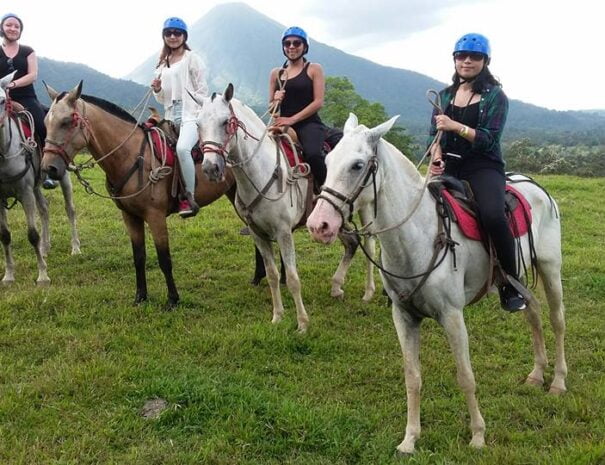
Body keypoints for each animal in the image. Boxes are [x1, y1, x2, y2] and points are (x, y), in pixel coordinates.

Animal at [0, 72, 80, 284]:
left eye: (2, 100)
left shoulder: (25, 193)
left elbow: (32, 235)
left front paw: (43, 276)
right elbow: (5, 236)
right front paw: (8, 276)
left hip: (63, 175)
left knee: (70, 209)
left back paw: (75, 247)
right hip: (36, 186)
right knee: (44, 209)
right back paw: (45, 247)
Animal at [41, 82, 235, 308]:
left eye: (67, 121)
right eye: (46, 122)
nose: (48, 168)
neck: (132, 156)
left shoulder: (155, 216)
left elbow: (164, 259)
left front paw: (172, 299)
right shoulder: (130, 216)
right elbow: (139, 257)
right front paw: (141, 296)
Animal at [191, 83, 376, 330]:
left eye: (225, 122)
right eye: (198, 124)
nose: (211, 168)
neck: (263, 172)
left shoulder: (283, 232)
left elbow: (293, 277)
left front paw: (302, 323)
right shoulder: (258, 234)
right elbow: (272, 275)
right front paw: (277, 316)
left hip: (366, 210)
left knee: (370, 245)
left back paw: (369, 292)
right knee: (352, 242)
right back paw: (337, 287)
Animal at [306, 113, 568, 454]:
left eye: (357, 165)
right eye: (328, 160)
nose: (318, 225)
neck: (419, 235)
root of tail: (535, 186)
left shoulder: (452, 316)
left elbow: (466, 376)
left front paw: (478, 435)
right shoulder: (403, 316)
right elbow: (412, 377)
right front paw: (410, 439)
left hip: (550, 268)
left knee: (557, 320)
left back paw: (558, 381)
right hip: (517, 277)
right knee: (533, 315)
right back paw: (536, 375)